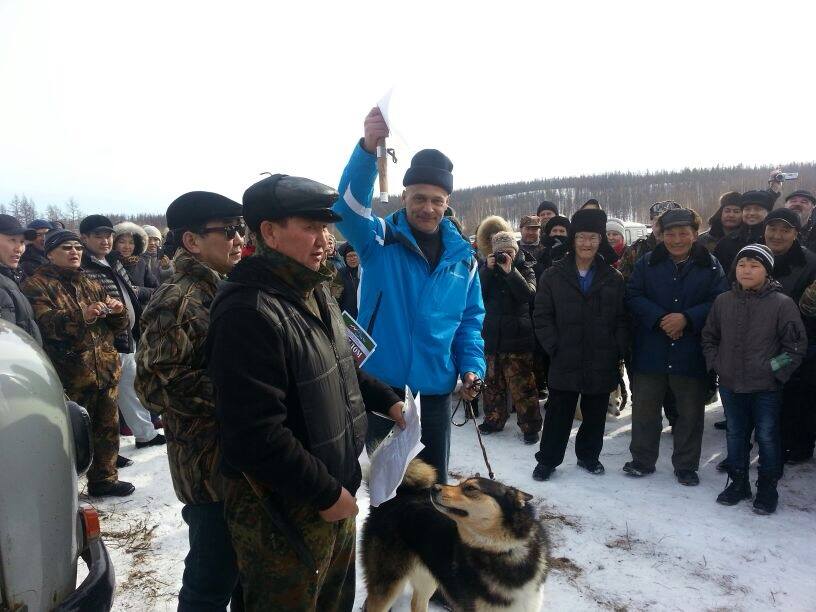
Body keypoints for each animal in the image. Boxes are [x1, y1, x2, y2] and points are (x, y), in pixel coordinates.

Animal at [364, 462, 548, 608]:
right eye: (459, 484)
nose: (434, 487)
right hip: (387, 584)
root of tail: (396, 498)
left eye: (470, 488)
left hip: (428, 577)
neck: (503, 551)